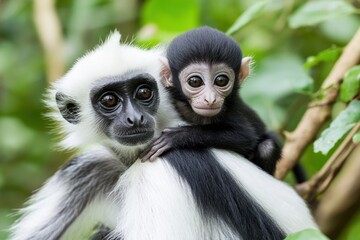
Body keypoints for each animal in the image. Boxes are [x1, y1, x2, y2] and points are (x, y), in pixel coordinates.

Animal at [9, 30, 316, 240]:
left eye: (144, 93)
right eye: (109, 100)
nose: (134, 118)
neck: (131, 162)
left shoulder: (157, 171)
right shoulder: (89, 170)